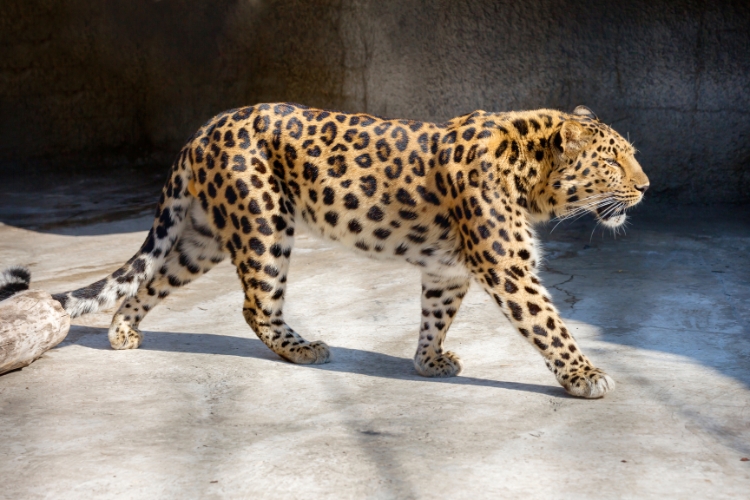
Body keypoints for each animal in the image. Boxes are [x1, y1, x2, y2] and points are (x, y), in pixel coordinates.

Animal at [0, 102, 648, 398]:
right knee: (255, 306)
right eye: (615, 161)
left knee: (154, 278)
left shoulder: (447, 269)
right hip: (263, 224)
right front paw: (586, 375)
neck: (532, 174)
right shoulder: (508, 268)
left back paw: (125, 333)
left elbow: (434, 314)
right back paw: (303, 349)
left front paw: (428, 361)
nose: (645, 186)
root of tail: (204, 129)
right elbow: (549, 324)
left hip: (203, 238)